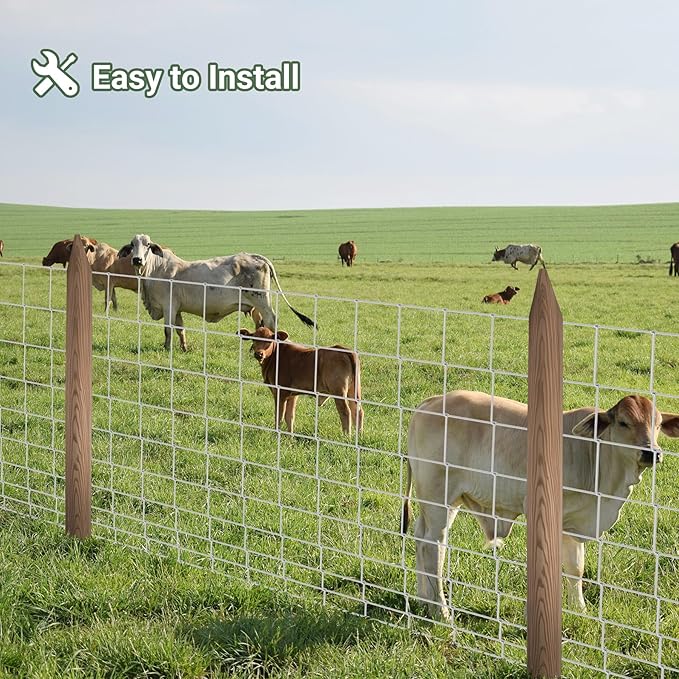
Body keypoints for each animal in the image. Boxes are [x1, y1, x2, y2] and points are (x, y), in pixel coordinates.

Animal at [117, 234, 315, 352]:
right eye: (132, 245)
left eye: (148, 245)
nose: (137, 260)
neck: (156, 270)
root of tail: (255, 256)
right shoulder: (177, 309)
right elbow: (180, 329)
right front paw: (184, 347)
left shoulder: (168, 306)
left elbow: (168, 329)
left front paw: (167, 348)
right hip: (254, 306)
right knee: (260, 324)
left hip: (262, 300)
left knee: (271, 320)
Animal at [402, 390, 679, 620]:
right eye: (623, 422)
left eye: (656, 424)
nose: (652, 453)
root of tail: (432, 401)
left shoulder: (573, 524)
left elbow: (576, 568)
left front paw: (579, 609)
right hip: (438, 498)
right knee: (433, 547)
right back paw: (441, 611)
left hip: (445, 501)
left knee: (420, 537)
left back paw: (423, 598)